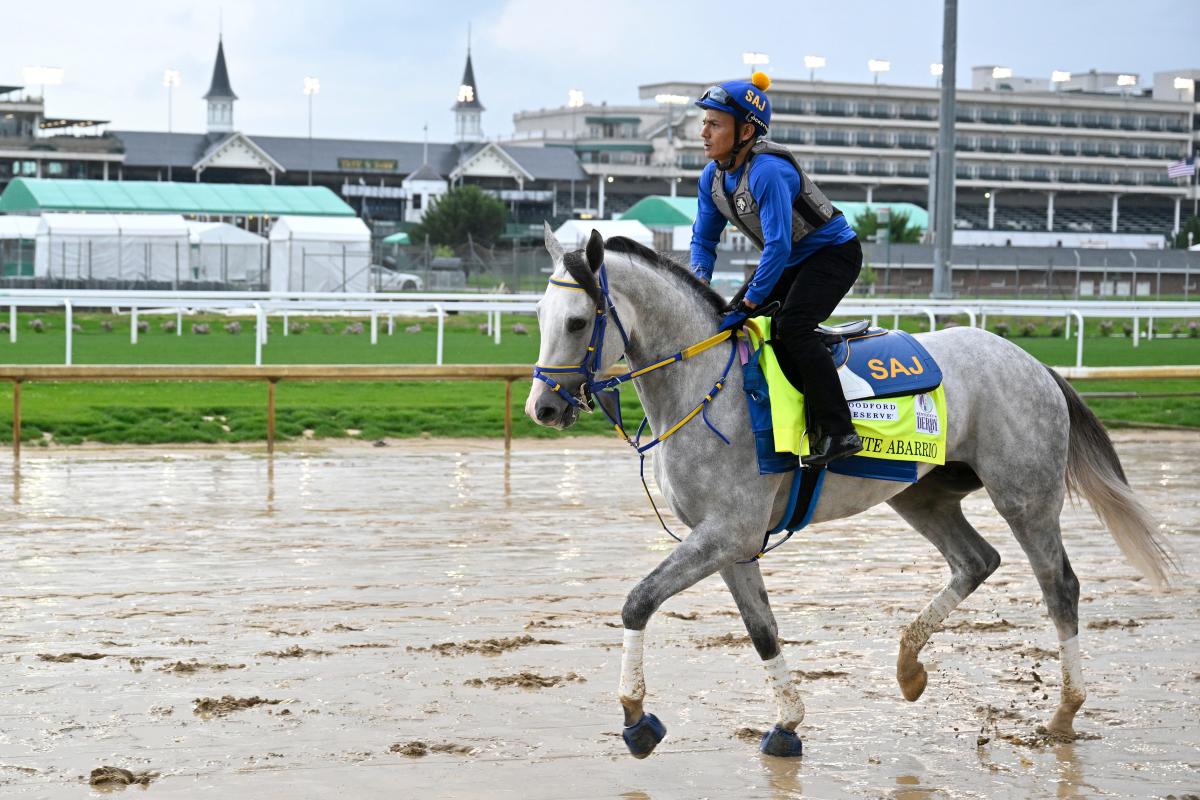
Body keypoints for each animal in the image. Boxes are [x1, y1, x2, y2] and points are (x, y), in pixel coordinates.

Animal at [523, 224, 1171, 758]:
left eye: (577, 322)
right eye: (539, 315)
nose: (543, 408)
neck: (707, 385)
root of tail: (1035, 363)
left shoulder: (725, 533)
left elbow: (638, 602)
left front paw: (636, 718)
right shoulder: (730, 543)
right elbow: (762, 630)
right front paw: (787, 724)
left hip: (1025, 498)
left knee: (1059, 586)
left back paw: (1064, 713)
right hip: (920, 495)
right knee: (977, 560)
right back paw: (909, 669)